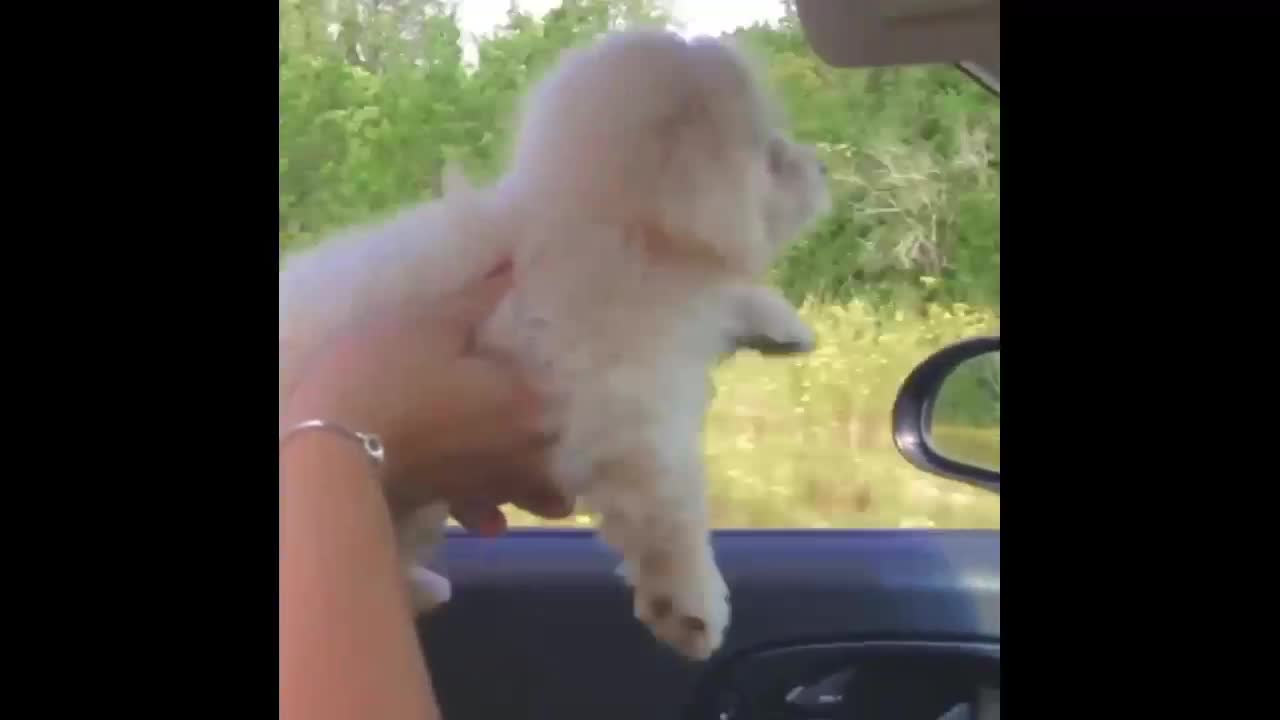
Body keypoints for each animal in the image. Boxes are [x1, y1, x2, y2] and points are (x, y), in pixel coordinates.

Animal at [280, 29, 829, 655]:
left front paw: (782, 324)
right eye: (772, 155)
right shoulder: (617, 405)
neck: (617, 236)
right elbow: (670, 508)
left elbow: (731, 298)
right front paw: (689, 605)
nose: (823, 164)